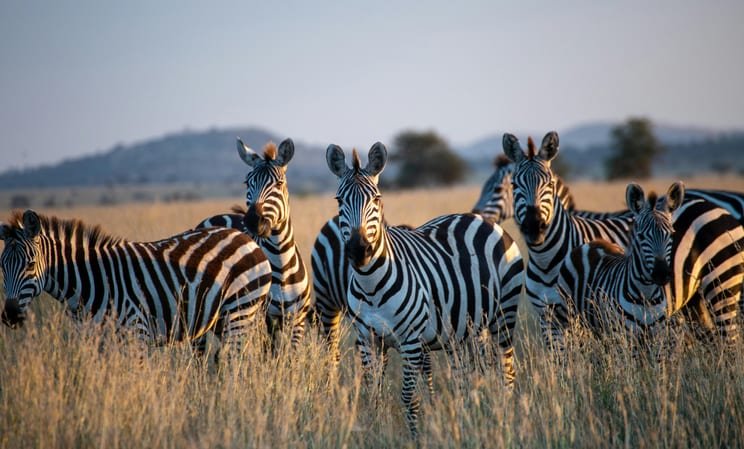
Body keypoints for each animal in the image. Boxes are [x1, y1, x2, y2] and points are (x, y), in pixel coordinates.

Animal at [0, 209, 272, 355]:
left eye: (30, 264)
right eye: (1, 267)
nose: (10, 316)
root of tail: (244, 237)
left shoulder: (136, 333)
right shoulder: (93, 341)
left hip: (239, 311)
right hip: (220, 319)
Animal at [195, 138, 312, 350]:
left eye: (279, 183)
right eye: (247, 182)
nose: (252, 221)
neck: (281, 263)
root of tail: (217, 216)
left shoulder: (297, 320)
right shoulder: (262, 320)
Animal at [325, 142, 524, 437]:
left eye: (377, 199)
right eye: (339, 201)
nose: (359, 250)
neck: (370, 284)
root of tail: (483, 220)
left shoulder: (410, 340)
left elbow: (409, 396)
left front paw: (415, 437)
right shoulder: (368, 339)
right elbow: (374, 394)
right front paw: (376, 431)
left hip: (504, 315)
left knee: (506, 371)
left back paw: (506, 419)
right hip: (467, 330)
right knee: (468, 377)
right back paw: (470, 418)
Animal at [555, 182, 683, 348]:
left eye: (672, 235)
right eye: (641, 236)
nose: (661, 273)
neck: (646, 295)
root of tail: (592, 243)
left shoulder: (658, 337)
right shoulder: (625, 337)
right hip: (568, 316)